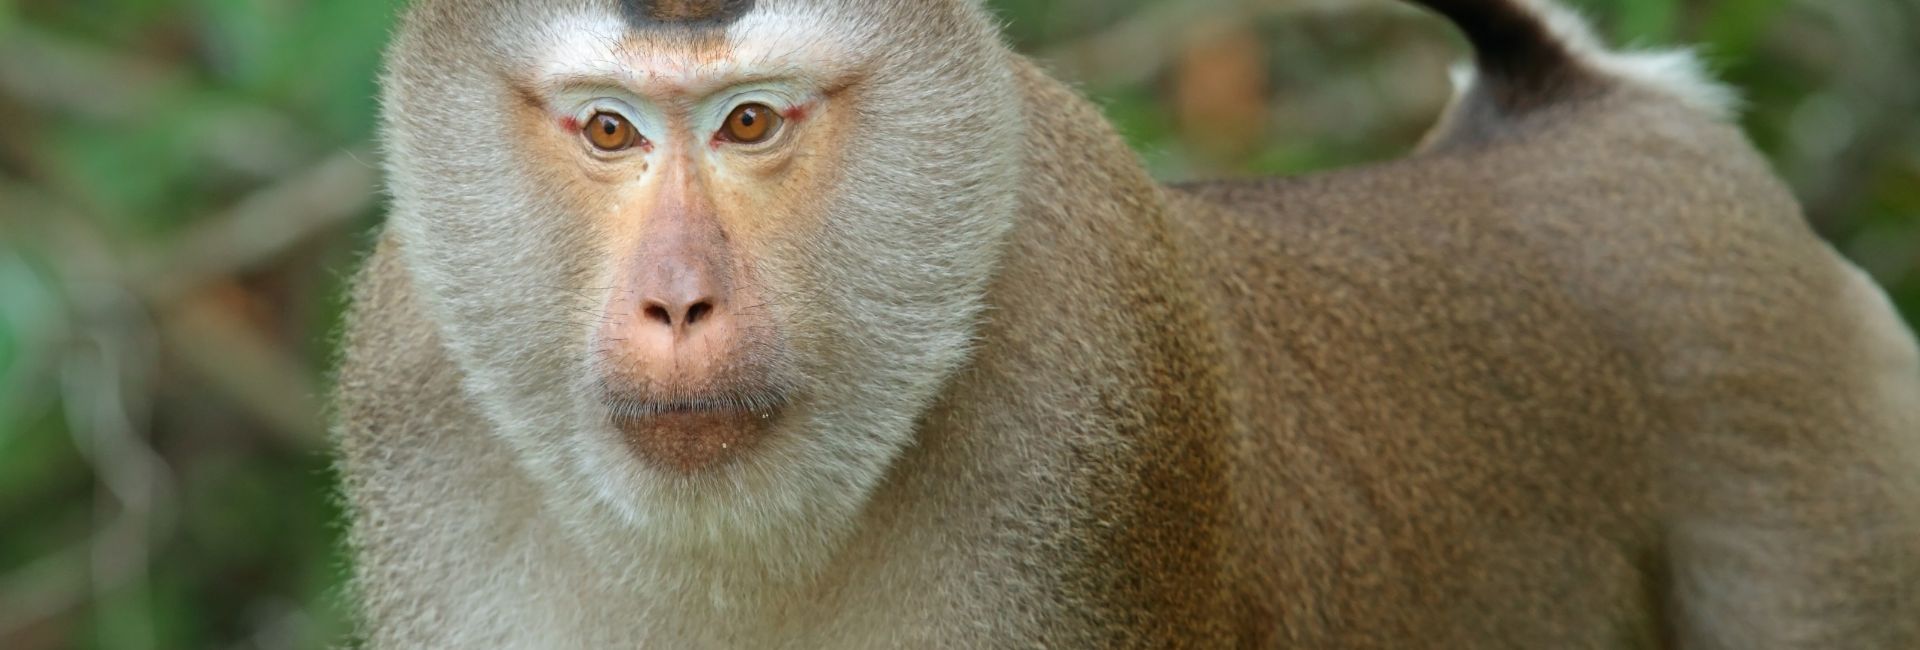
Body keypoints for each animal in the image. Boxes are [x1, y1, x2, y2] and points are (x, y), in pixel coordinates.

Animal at [332, 0, 1920, 647]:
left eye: (751, 123)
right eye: (607, 127)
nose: (676, 297)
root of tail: (1574, 113)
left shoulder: (1094, 428)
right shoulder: (420, 409)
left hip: (1804, 445)